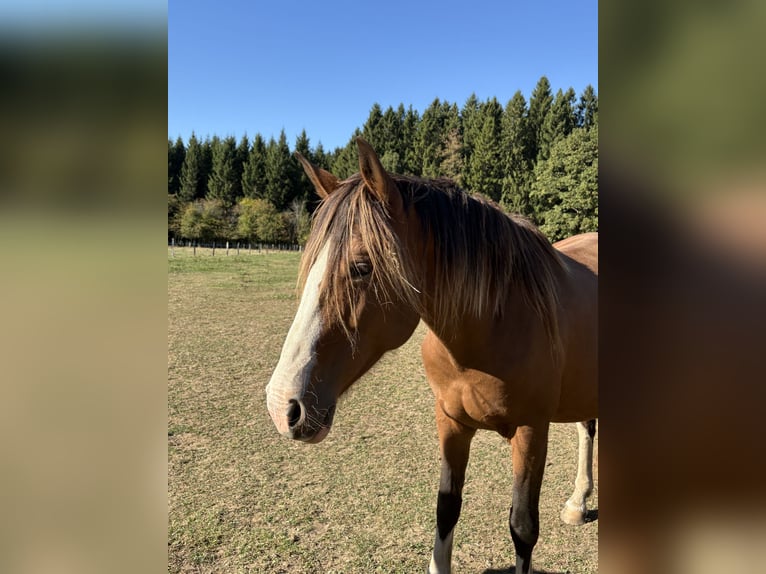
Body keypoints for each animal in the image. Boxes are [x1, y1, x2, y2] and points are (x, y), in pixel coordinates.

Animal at [266, 137, 598, 574]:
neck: (491, 325)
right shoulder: (450, 422)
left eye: (362, 266)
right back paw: (579, 502)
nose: (281, 406)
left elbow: (523, 526)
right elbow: (446, 508)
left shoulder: (531, 431)